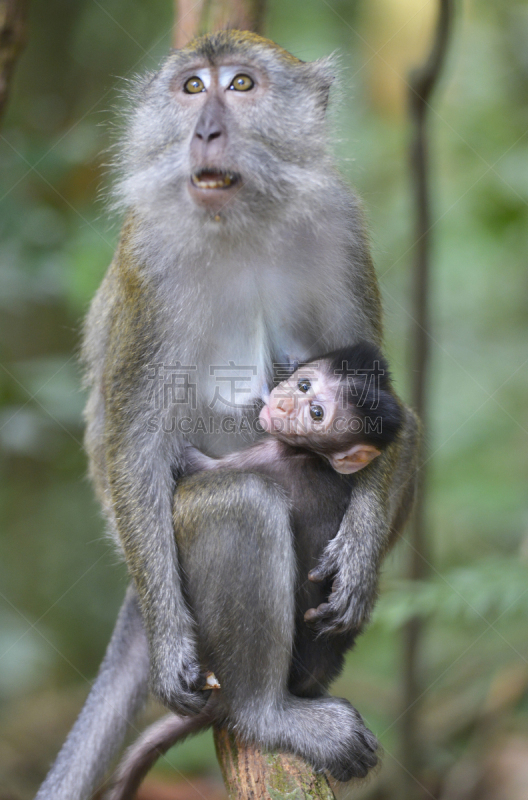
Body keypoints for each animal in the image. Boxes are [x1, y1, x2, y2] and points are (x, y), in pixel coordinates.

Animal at [108, 340, 404, 800]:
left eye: (316, 413)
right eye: (305, 385)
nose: (283, 403)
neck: (310, 456)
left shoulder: (269, 454)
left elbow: (199, 469)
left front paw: (180, 452)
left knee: (247, 498)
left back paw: (265, 715)